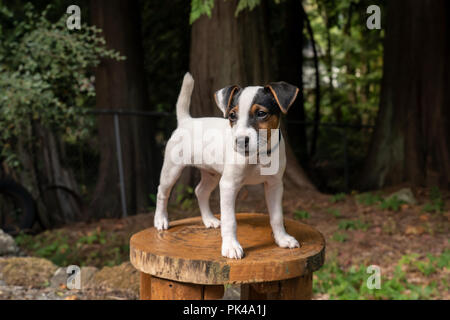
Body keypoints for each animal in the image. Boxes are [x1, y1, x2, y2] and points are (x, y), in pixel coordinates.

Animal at [153, 71, 300, 258]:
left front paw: (282, 239)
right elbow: (230, 220)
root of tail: (187, 121)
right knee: (162, 192)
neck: (257, 156)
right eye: (232, 115)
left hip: (212, 174)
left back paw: (209, 220)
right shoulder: (229, 185)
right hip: (172, 170)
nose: (240, 141)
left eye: (261, 113)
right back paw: (160, 220)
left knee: (200, 191)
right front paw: (231, 246)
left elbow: (277, 216)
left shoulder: (274, 185)